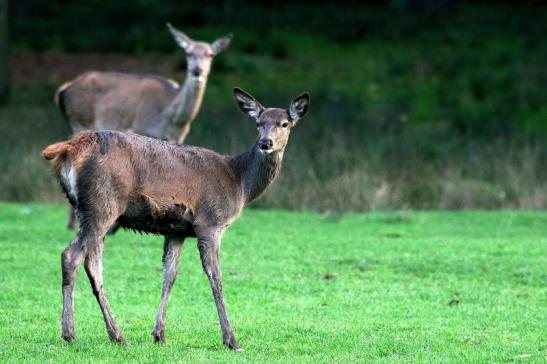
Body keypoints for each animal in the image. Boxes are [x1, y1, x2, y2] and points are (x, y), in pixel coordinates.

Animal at [41, 87, 310, 350]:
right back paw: (69, 333)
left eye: (285, 123)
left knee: (93, 266)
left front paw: (159, 334)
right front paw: (231, 340)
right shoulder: (210, 223)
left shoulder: (176, 230)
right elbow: (216, 278)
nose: (266, 143)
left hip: (90, 209)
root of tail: (69, 148)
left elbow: (169, 276)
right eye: (258, 123)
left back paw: (117, 335)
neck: (240, 183)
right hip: (101, 203)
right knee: (71, 256)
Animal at [56, 22, 233, 229]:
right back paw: (72, 221)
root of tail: (63, 90)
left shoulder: (177, 139)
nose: (197, 71)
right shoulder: (143, 130)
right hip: (79, 120)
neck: (170, 119)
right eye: (188, 53)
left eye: (210, 54)